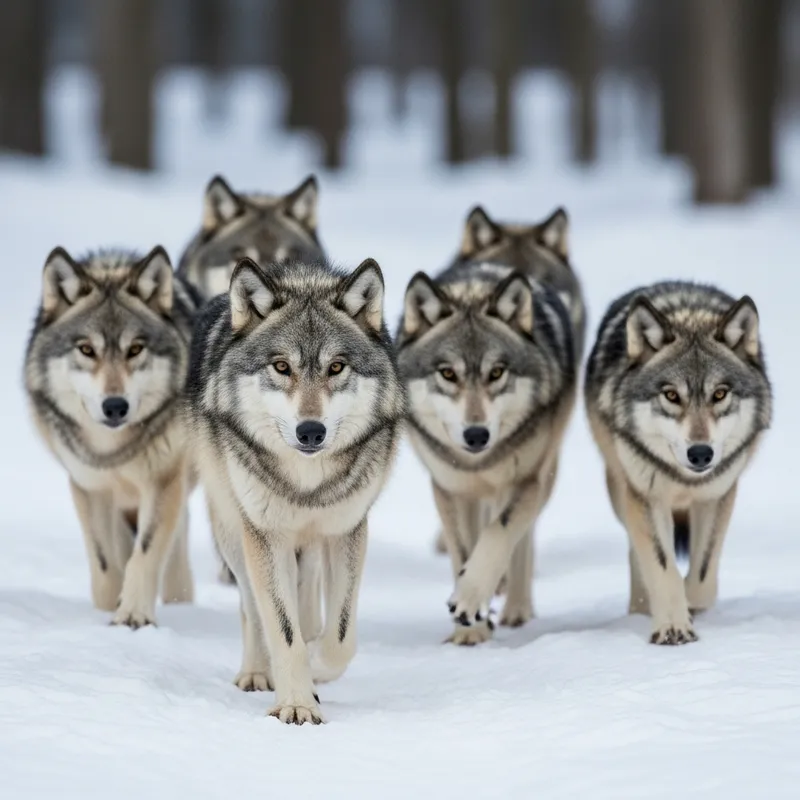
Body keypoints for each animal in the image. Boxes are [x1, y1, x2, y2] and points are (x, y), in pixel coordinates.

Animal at [24, 246, 201, 627]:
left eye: (135, 349)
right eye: (87, 350)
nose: (115, 406)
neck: (113, 451)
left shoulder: (163, 482)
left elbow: (145, 554)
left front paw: (133, 617)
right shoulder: (89, 488)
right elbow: (106, 563)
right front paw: (107, 614)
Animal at [187, 255, 405, 724]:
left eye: (336, 367)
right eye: (281, 367)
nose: (311, 431)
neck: (307, 483)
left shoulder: (346, 530)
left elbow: (339, 636)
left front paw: (316, 669)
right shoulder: (265, 535)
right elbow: (281, 631)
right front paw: (296, 705)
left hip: (310, 547)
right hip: (234, 532)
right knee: (251, 607)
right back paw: (256, 672)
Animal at [584, 281, 772, 644]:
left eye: (719, 394)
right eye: (672, 396)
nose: (700, 454)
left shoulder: (717, 496)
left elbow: (701, 572)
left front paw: (691, 607)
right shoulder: (646, 497)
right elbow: (662, 566)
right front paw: (672, 626)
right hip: (621, 490)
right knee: (636, 550)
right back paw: (642, 609)